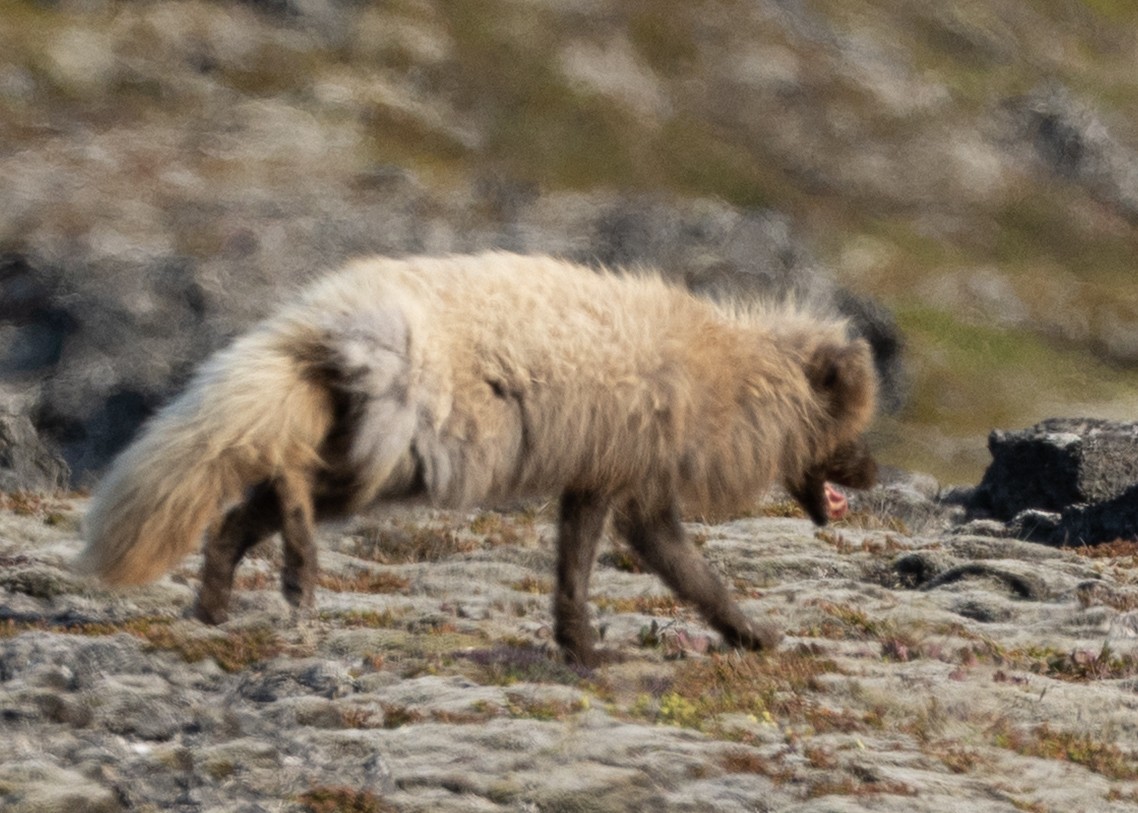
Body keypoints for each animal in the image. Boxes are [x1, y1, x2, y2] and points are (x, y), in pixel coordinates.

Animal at [78, 252, 877, 666]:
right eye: (854, 433)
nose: (876, 477)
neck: (732, 377)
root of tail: (321, 315)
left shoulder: (608, 483)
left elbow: (588, 574)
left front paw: (580, 646)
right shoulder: (630, 487)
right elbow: (690, 576)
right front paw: (750, 633)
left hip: (368, 449)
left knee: (246, 505)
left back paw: (217, 604)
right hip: (403, 462)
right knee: (285, 483)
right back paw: (298, 571)